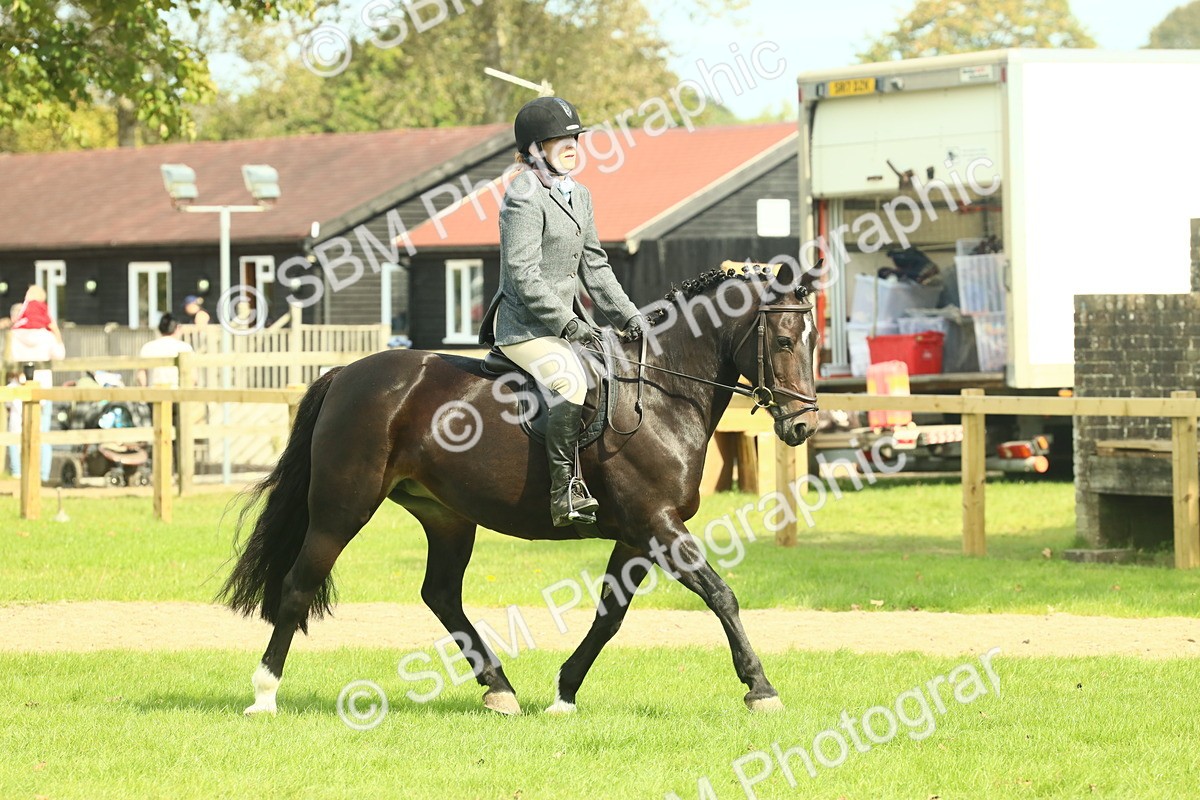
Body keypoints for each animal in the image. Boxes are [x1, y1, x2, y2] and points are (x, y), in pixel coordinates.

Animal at [220, 263, 819, 717]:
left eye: (814, 341)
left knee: (440, 594)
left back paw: (499, 689)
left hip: (446, 516)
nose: (803, 426)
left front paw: (564, 693)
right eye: (784, 340)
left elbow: (610, 616)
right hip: (341, 509)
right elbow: (721, 595)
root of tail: (345, 374)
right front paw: (761, 689)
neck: (660, 392)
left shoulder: (638, 534)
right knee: (299, 584)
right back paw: (264, 694)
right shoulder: (658, 524)